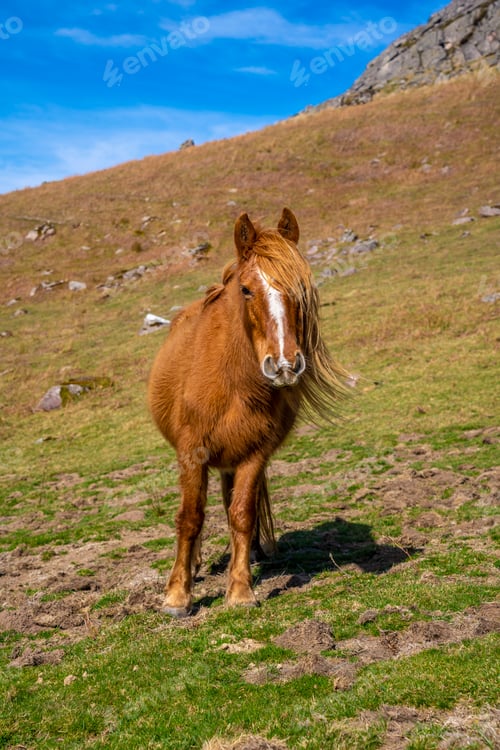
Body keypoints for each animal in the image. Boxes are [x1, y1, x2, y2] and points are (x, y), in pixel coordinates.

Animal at [148, 207, 348, 617]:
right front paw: (177, 595)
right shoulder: (192, 453)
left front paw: (240, 590)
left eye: (301, 288)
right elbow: (189, 518)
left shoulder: (253, 455)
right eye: (246, 289)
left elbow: (241, 515)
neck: (231, 381)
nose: (285, 365)